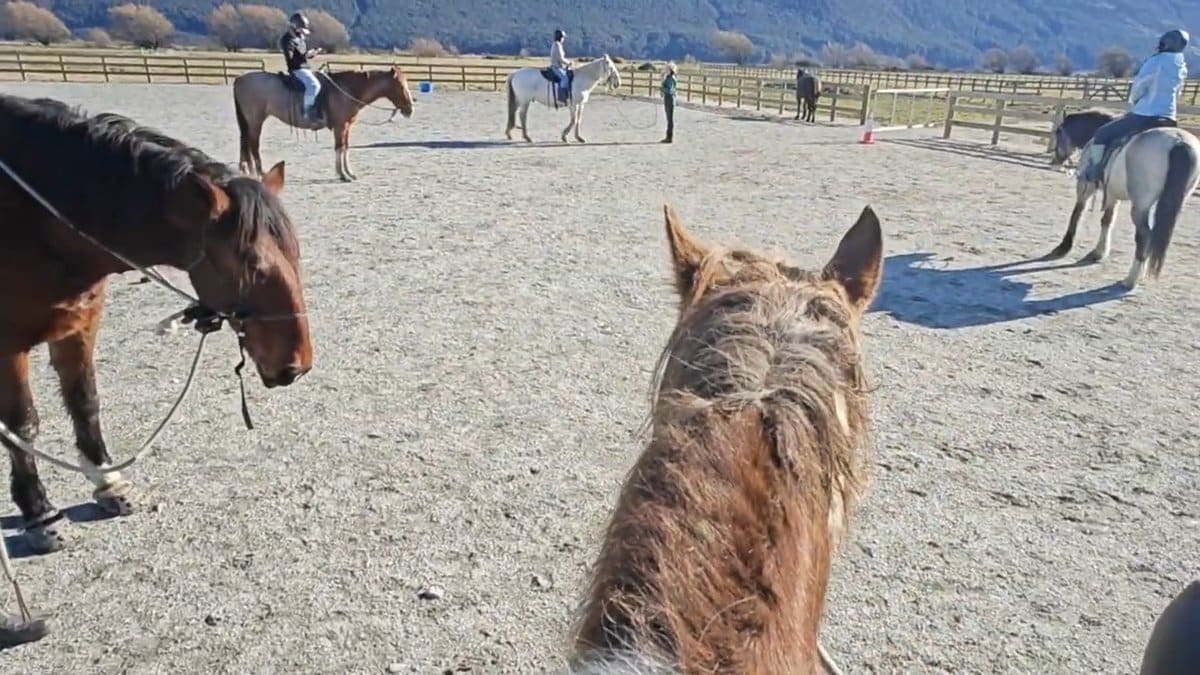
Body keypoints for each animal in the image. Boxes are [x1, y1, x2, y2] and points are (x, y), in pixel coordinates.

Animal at [0, 93, 313, 553]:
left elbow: (85, 403)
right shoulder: (8, 344)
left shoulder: (78, 326)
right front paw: (39, 512)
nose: (298, 365)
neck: (42, 220)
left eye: (294, 253)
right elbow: (23, 424)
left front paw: (108, 482)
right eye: (251, 265)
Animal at [232, 66, 415, 182]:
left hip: (248, 122)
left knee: (244, 142)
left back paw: (247, 171)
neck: (347, 89)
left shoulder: (347, 126)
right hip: (255, 121)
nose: (410, 109)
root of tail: (239, 78)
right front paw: (342, 175)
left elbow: (345, 147)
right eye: (400, 86)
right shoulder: (340, 126)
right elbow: (339, 147)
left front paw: (349, 173)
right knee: (253, 145)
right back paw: (260, 173)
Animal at [1046, 125, 1200, 289]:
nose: (1054, 161)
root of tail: (1179, 141)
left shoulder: (1085, 187)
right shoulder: (1112, 194)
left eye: (1058, 137)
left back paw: (1131, 279)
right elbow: (1107, 220)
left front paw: (1064, 246)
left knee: (1144, 235)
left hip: (1140, 206)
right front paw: (1099, 252)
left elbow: (1077, 213)